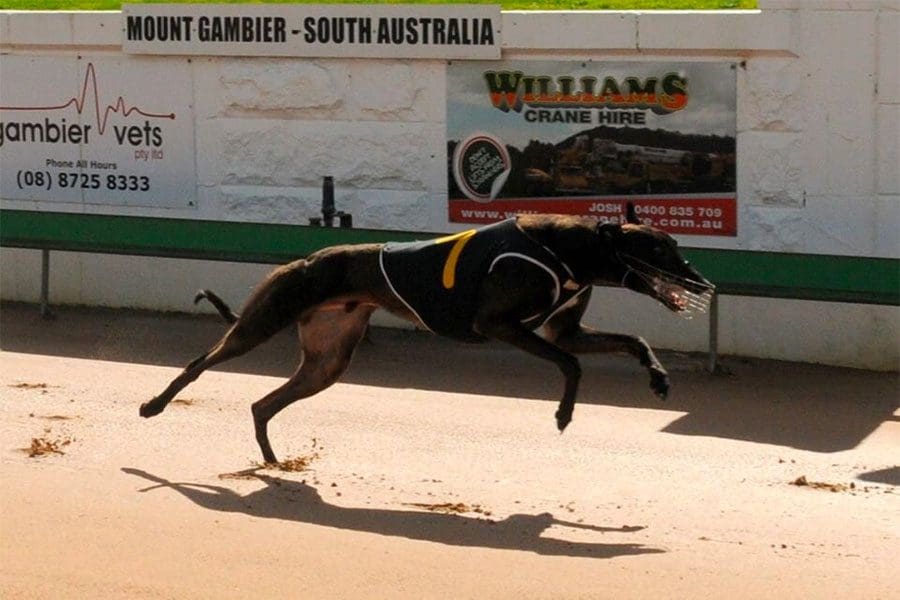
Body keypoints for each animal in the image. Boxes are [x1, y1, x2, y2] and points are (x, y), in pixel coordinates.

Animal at [141, 204, 712, 462]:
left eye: (673, 245)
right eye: (658, 248)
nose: (701, 281)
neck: (568, 248)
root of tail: (303, 260)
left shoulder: (564, 328)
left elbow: (631, 342)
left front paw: (659, 379)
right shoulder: (498, 324)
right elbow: (569, 363)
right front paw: (564, 414)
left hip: (328, 361)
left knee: (263, 404)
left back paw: (272, 459)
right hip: (261, 323)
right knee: (198, 364)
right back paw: (153, 405)